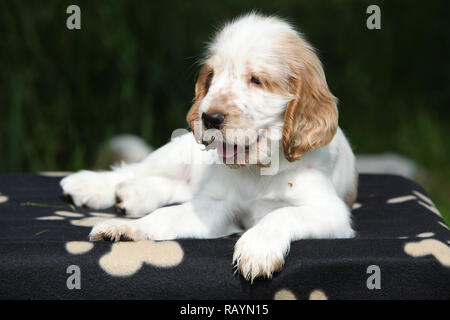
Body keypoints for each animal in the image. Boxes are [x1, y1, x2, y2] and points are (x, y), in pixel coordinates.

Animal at [60, 13, 358, 282]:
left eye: (256, 80)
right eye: (212, 77)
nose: (209, 118)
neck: (257, 169)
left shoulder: (329, 210)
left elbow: (281, 214)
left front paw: (256, 249)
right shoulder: (215, 206)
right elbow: (165, 216)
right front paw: (126, 229)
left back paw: (132, 195)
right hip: (176, 152)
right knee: (133, 170)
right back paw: (88, 185)